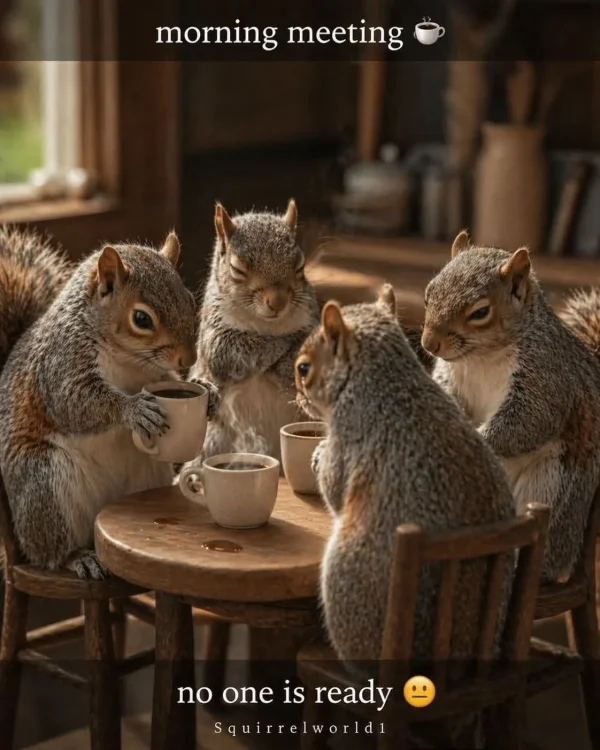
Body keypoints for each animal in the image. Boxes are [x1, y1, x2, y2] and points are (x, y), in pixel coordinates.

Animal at [0, 228, 218, 579]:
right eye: (141, 318)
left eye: (188, 298)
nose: (189, 359)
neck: (127, 358)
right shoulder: (61, 363)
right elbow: (74, 402)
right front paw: (133, 409)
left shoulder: (159, 374)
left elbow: (172, 380)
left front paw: (207, 391)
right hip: (44, 482)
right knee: (49, 551)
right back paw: (78, 557)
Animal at [183, 199, 320, 466]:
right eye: (237, 268)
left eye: (300, 266)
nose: (278, 302)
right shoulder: (214, 332)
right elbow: (232, 350)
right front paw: (287, 343)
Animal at [294, 285, 515, 669]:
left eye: (303, 368)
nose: (296, 396)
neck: (387, 380)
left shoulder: (349, 435)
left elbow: (334, 488)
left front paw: (318, 454)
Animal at [422, 230, 600, 583]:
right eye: (427, 295)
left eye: (480, 312)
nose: (428, 344)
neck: (480, 357)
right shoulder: (452, 376)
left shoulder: (545, 376)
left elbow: (527, 420)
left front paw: (479, 440)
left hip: (551, 487)